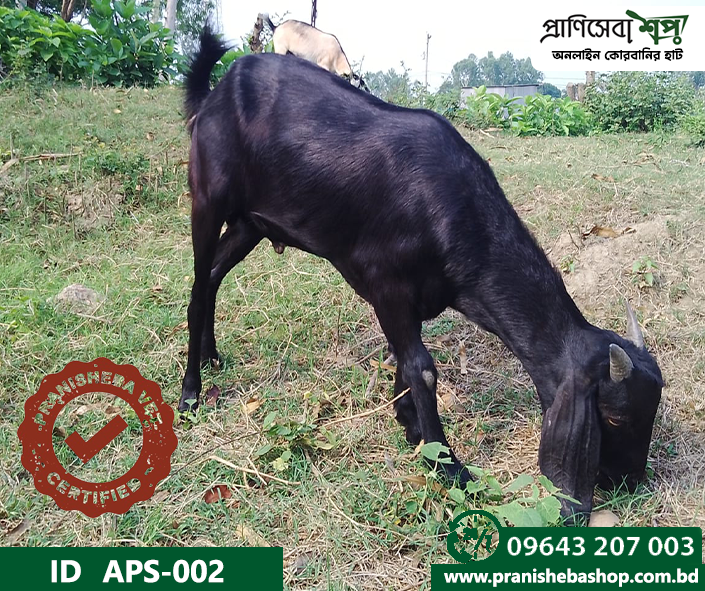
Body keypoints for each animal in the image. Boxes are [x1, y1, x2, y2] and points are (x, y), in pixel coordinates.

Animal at [180, 26, 663, 521]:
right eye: (614, 416)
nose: (629, 480)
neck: (455, 210)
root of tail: (218, 91)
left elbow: (403, 360)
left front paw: (410, 426)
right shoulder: (386, 285)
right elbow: (421, 367)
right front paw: (447, 464)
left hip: (251, 223)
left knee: (214, 275)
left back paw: (211, 355)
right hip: (208, 198)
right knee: (198, 288)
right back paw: (190, 394)